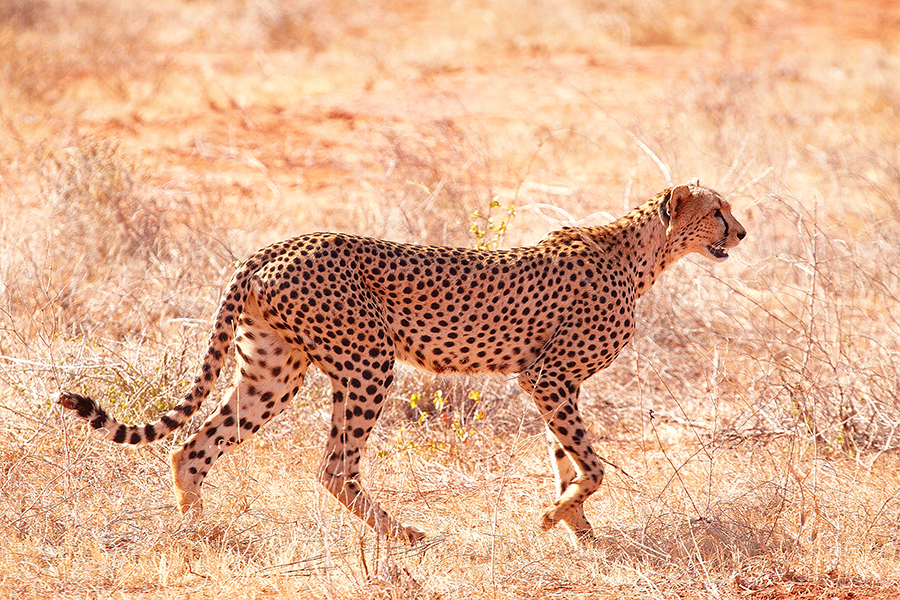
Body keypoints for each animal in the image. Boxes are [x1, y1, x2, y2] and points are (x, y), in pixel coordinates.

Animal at [58, 178, 744, 544]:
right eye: (716, 210)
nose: (740, 232)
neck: (644, 253)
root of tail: (274, 246)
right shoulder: (547, 376)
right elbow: (593, 466)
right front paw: (557, 520)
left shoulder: (557, 382)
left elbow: (567, 461)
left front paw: (578, 532)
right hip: (368, 361)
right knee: (333, 467)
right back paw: (403, 535)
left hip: (273, 371)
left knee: (193, 445)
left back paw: (200, 534)